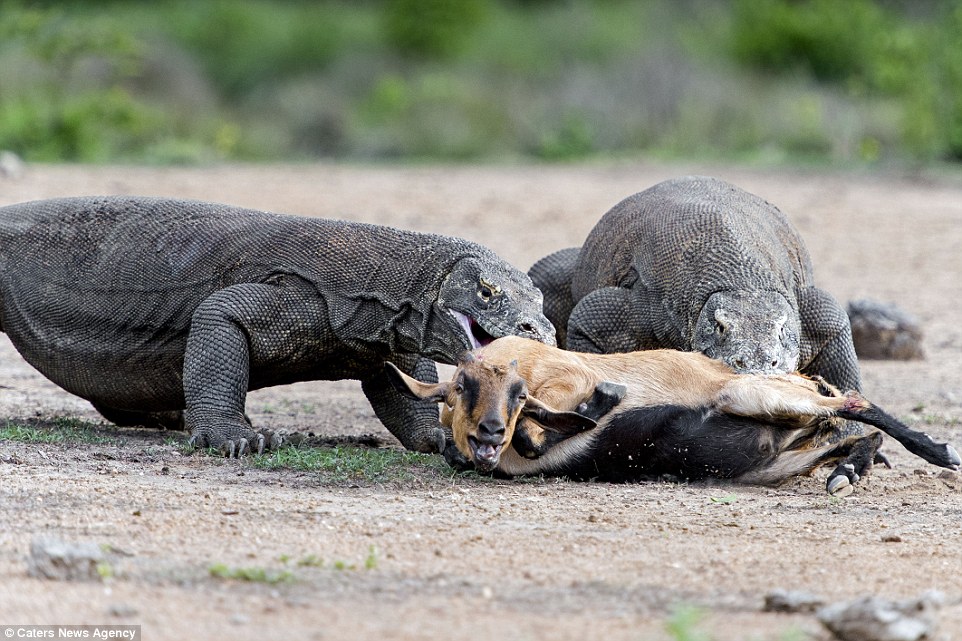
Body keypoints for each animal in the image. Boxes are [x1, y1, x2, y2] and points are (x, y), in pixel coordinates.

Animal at [386, 336, 956, 496]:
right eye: (461, 387)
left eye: (518, 392)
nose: (489, 432)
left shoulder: (564, 377)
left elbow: (538, 431)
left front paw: (604, 400)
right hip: (775, 455)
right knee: (844, 432)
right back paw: (848, 471)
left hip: (748, 394)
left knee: (856, 404)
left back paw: (939, 452)